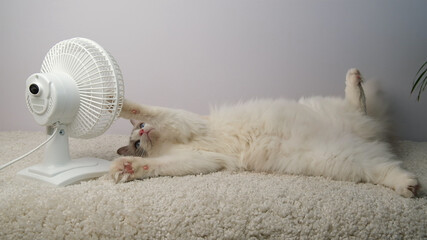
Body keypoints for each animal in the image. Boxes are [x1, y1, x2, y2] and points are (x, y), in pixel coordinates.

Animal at [111, 68, 422, 198]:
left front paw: (115, 101)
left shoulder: (185, 123)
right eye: (136, 143)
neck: (165, 142)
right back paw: (409, 187)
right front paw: (125, 168)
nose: (144, 132)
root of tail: (370, 132)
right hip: (349, 160)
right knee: (388, 169)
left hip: (336, 115)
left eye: (139, 132)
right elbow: (153, 166)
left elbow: (146, 109)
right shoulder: (198, 159)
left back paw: (354, 77)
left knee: (359, 102)